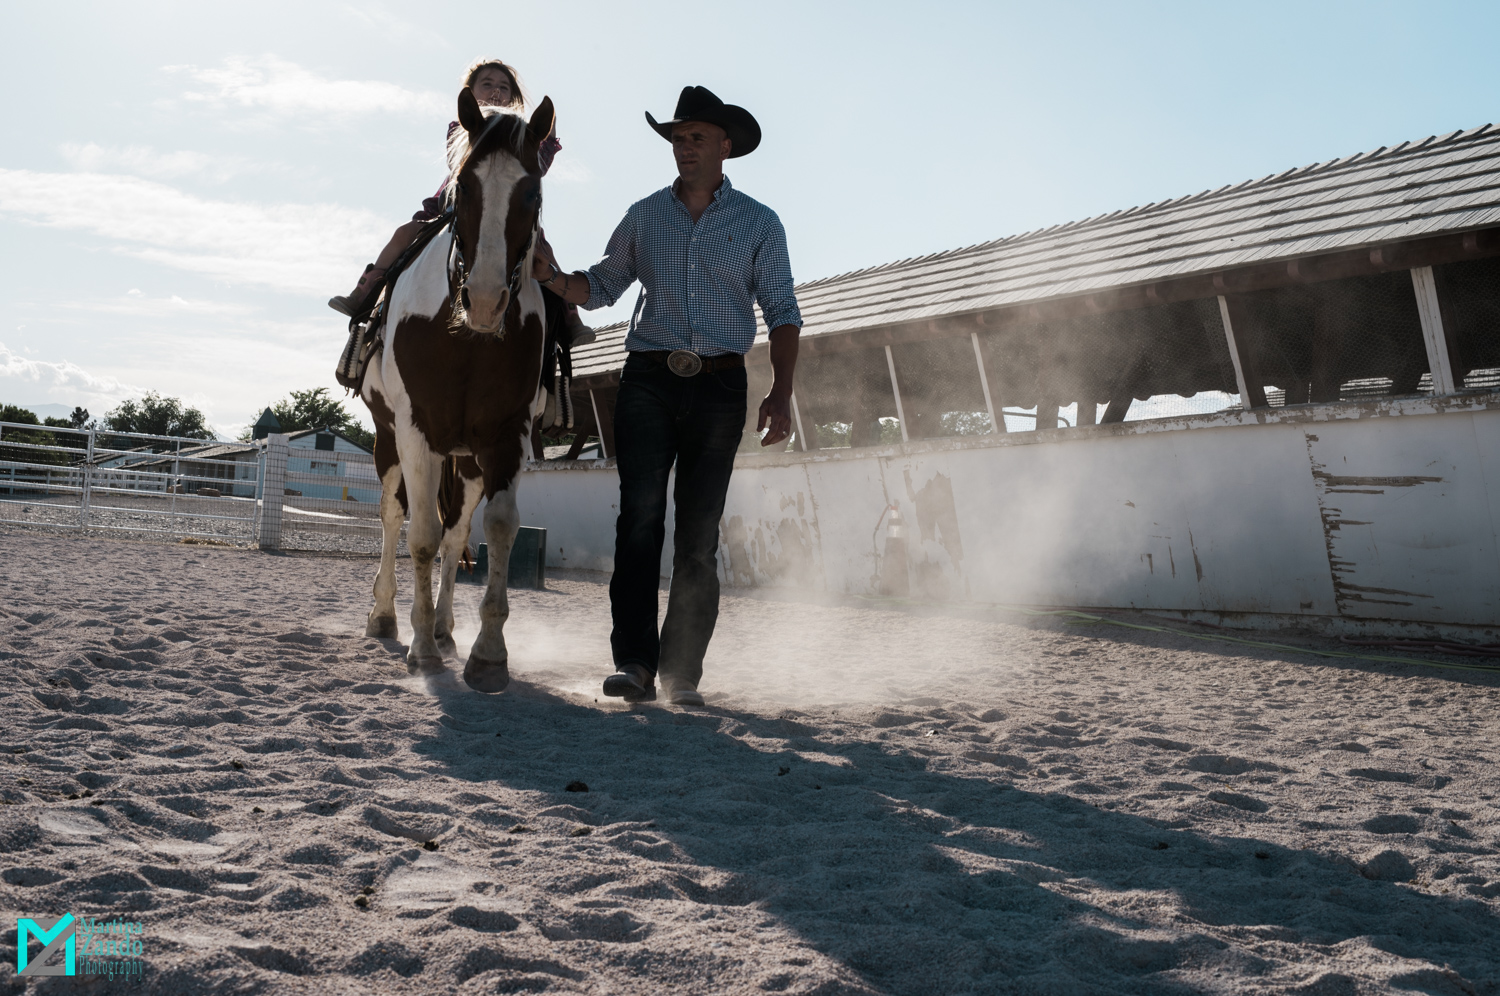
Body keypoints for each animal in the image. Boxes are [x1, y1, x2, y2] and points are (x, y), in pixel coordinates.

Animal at [360, 87, 555, 693]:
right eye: (464, 185)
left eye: (532, 191)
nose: (488, 299)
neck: (468, 336)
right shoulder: (415, 429)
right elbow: (418, 534)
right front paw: (420, 649)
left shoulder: (507, 436)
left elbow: (497, 527)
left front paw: (488, 655)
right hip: (388, 440)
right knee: (394, 517)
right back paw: (385, 618)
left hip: (465, 460)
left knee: (455, 532)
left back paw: (447, 629)